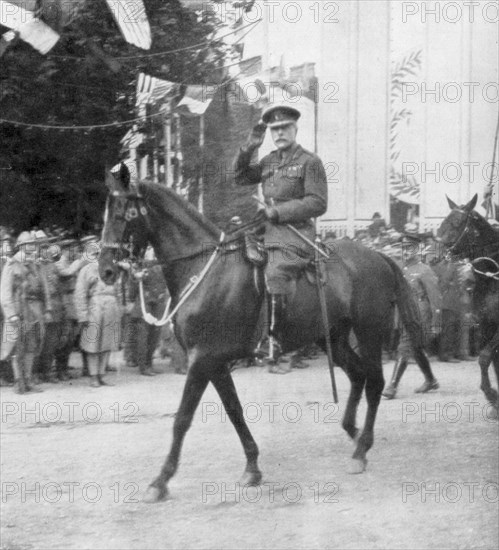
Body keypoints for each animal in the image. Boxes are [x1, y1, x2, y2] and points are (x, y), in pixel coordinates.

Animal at [98, 170, 430, 506]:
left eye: (124, 213)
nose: (106, 270)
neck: (205, 269)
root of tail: (379, 256)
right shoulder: (214, 362)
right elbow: (234, 412)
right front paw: (252, 467)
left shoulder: (202, 359)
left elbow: (182, 419)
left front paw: (161, 480)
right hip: (332, 338)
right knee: (359, 376)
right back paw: (354, 431)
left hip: (369, 332)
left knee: (374, 382)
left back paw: (361, 450)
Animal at [440, 196, 498, 412]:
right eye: (444, 220)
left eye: (457, 222)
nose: (436, 253)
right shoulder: (486, 324)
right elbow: (491, 361)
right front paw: (494, 398)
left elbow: (485, 357)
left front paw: (492, 395)